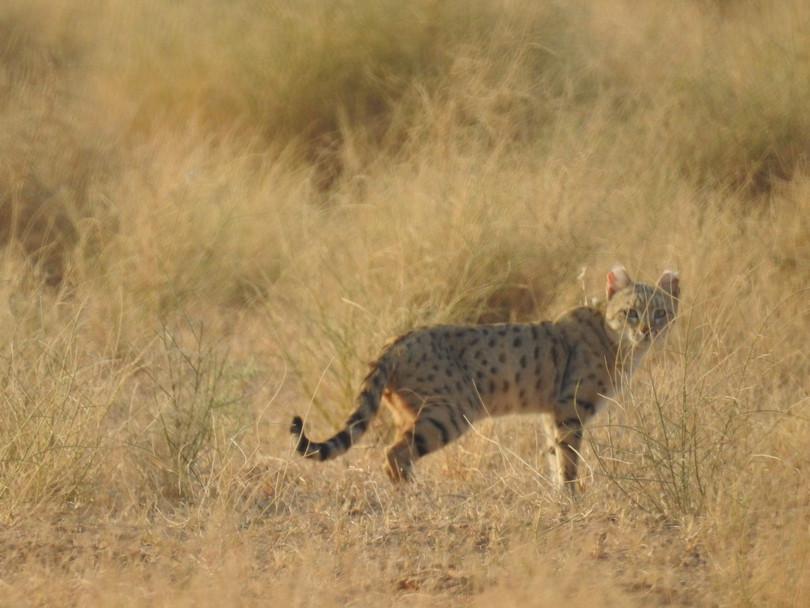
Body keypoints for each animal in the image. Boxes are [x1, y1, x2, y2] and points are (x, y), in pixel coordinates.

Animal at [288, 266, 680, 490]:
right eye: (631, 313)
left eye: (660, 313)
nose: (646, 330)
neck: (613, 339)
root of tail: (396, 340)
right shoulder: (570, 408)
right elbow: (568, 459)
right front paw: (571, 497)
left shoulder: (551, 413)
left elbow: (555, 455)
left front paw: (559, 495)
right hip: (449, 413)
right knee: (394, 453)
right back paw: (414, 497)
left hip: (415, 412)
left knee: (396, 451)